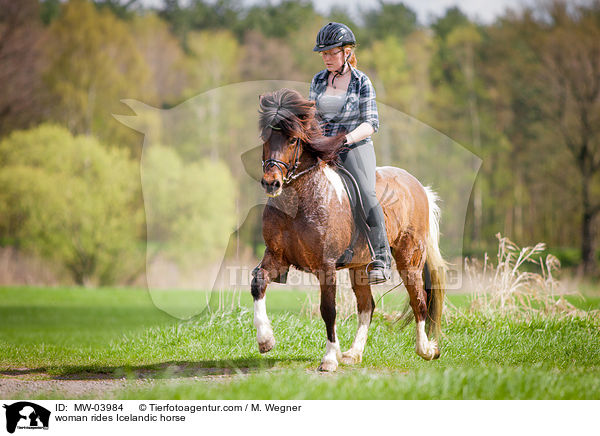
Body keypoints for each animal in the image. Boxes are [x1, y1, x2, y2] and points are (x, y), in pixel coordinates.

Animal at [250, 88, 446, 372]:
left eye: (292, 140)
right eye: (265, 137)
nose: (270, 183)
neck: (299, 202)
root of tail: (419, 187)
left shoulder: (326, 265)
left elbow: (328, 309)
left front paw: (329, 359)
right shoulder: (277, 257)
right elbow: (258, 282)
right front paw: (265, 339)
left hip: (409, 258)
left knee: (418, 299)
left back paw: (426, 350)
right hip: (360, 267)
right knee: (367, 306)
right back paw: (354, 353)